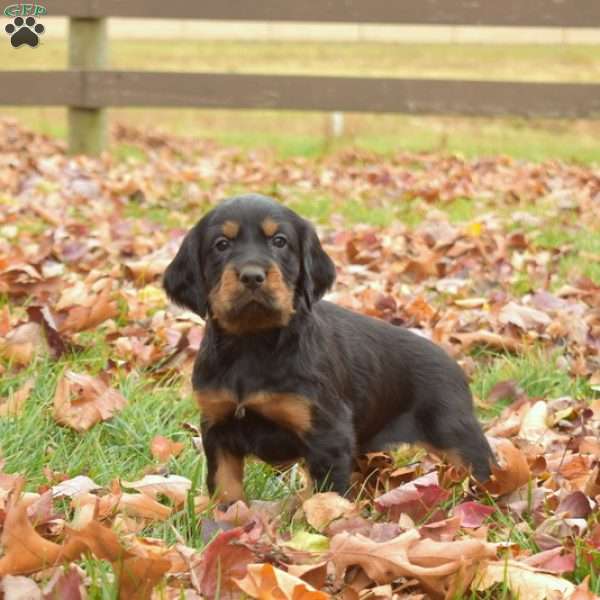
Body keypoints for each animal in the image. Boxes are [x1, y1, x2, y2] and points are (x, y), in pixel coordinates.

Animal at [163, 193, 492, 502]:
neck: (252, 342)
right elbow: (226, 488)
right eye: (221, 244)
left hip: (456, 433)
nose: (252, 276)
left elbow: (326, 494)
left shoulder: (328, 432)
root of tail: (452, 362)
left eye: (280, 241)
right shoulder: (217, 427)